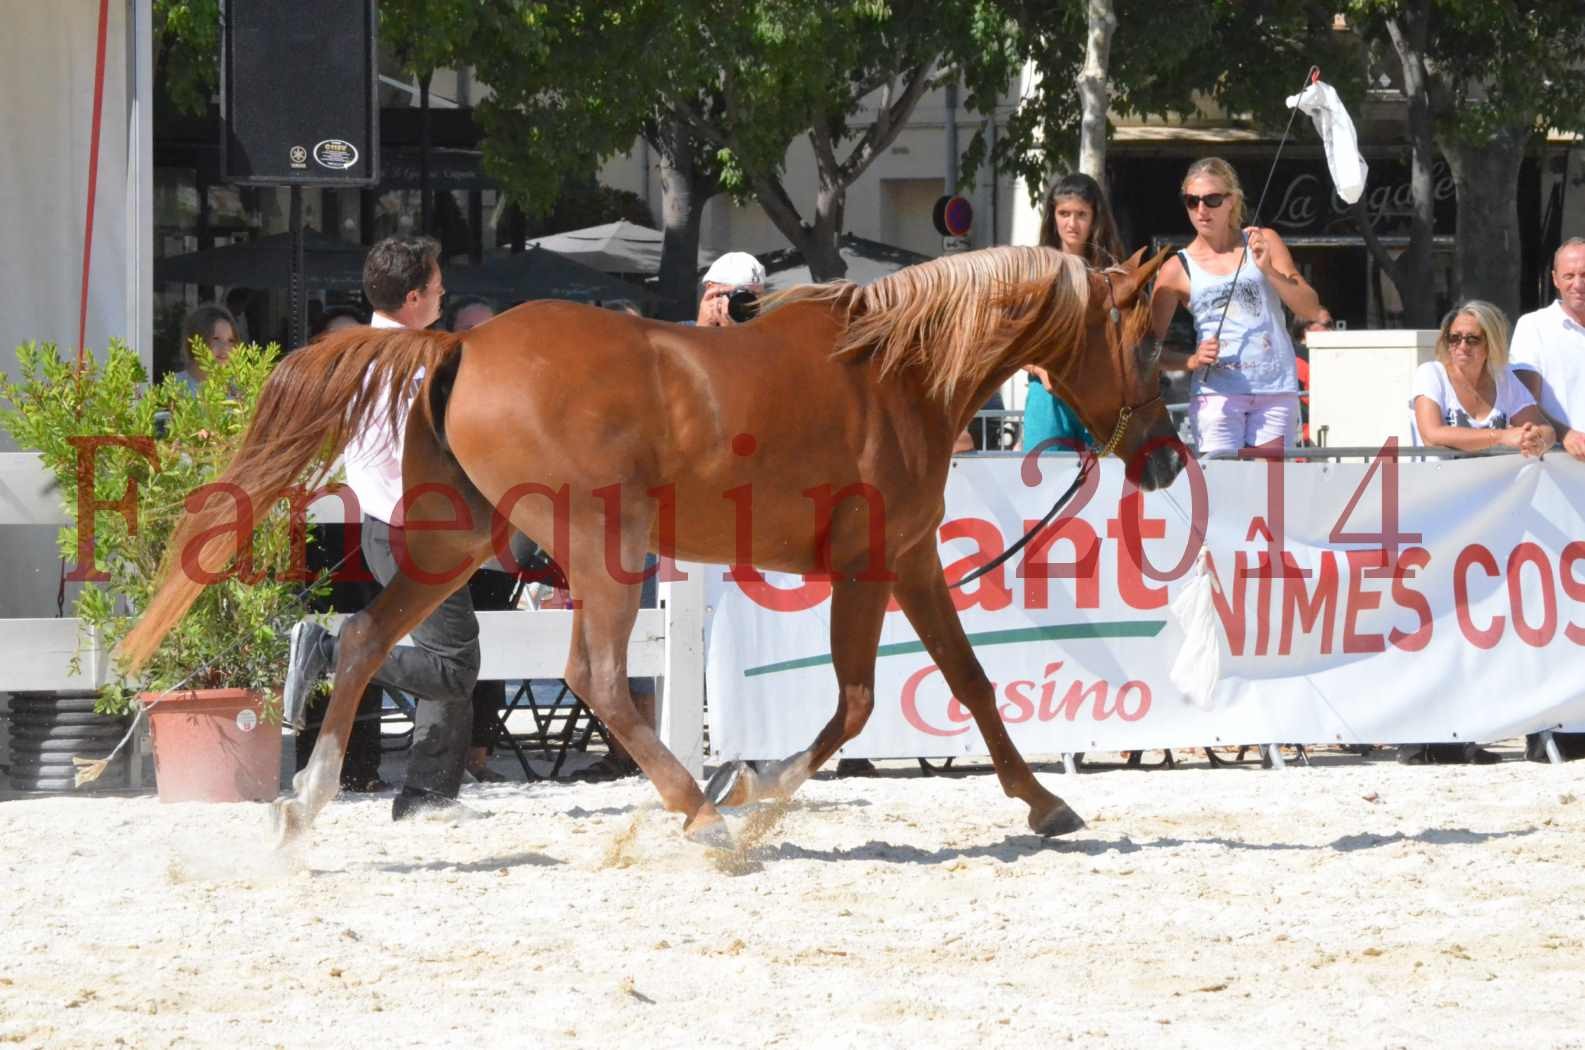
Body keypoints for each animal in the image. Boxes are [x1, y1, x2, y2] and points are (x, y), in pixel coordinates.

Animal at [117, 244, 1179, 850]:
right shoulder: (874, 564)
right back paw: (701, 816)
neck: (895, 372)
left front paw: (1042, 803)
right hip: (603, 553)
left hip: (461, 539)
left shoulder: (911, 563)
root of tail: (457, 344)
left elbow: (967, 683)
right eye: (1147, 339)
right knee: (591, 678)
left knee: (369, 638)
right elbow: (858, 704)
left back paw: (308, 799)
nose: (1166, 458)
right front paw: (755, 789)